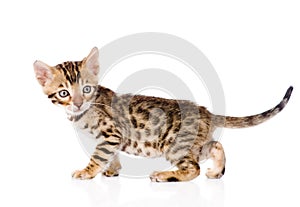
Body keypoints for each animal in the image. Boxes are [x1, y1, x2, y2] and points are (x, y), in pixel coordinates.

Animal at [33, 47, 292, 182]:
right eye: (64, 93)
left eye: (86, 89)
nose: (77, 104)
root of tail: (206, 112)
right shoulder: (113, 139)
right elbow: (111, 155)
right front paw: (112, 169)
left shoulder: (111, 134)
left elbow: (99, 155)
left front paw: (86, 172)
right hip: (194, 144)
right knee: (216, 146)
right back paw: (216, 171)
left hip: (175, 146)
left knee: (193, 169)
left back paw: (165, 175)